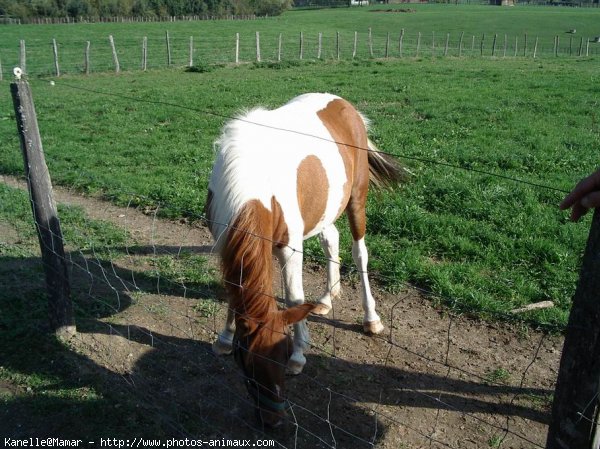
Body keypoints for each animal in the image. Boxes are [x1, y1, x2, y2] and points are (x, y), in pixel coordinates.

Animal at [204, 93, 406, 426]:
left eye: (282, 354)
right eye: (246, 365)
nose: (272, 420)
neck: (251, 181)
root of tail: (343, 104)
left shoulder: (290, 248)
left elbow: (294, 299)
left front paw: (300, 356)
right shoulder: (224, 240)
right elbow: (234, 292)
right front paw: (224, 336)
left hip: (356, 199)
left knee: (359, 253)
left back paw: (371, 318)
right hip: (326, 206)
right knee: (330, 240)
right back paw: (325, 299)